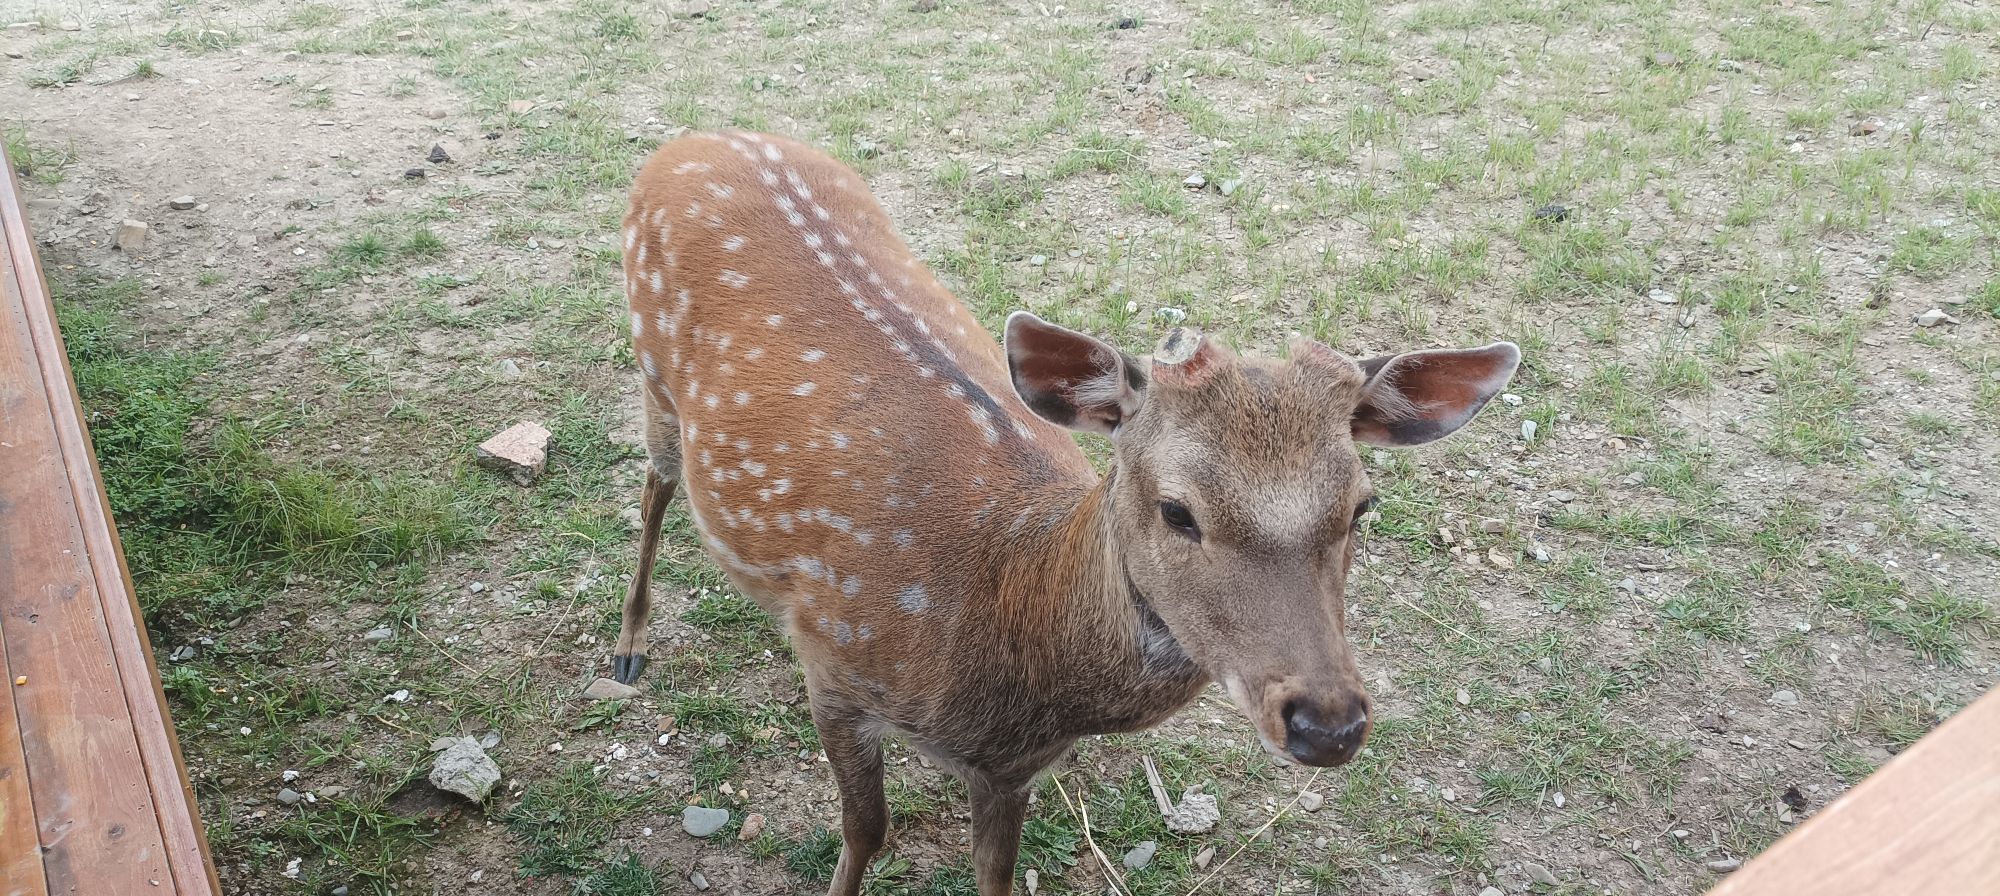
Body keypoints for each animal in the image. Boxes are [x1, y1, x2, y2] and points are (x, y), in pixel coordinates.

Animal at [613, 130, 1520, 896]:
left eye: (1362, 505)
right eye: (1176, 510)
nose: (1327, 725)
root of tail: (693, 138)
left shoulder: (1012, 770)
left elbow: (994, 874)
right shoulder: (835, 669)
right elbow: (865, 832)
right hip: (654, 376)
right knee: (655, 484)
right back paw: (628, 648)